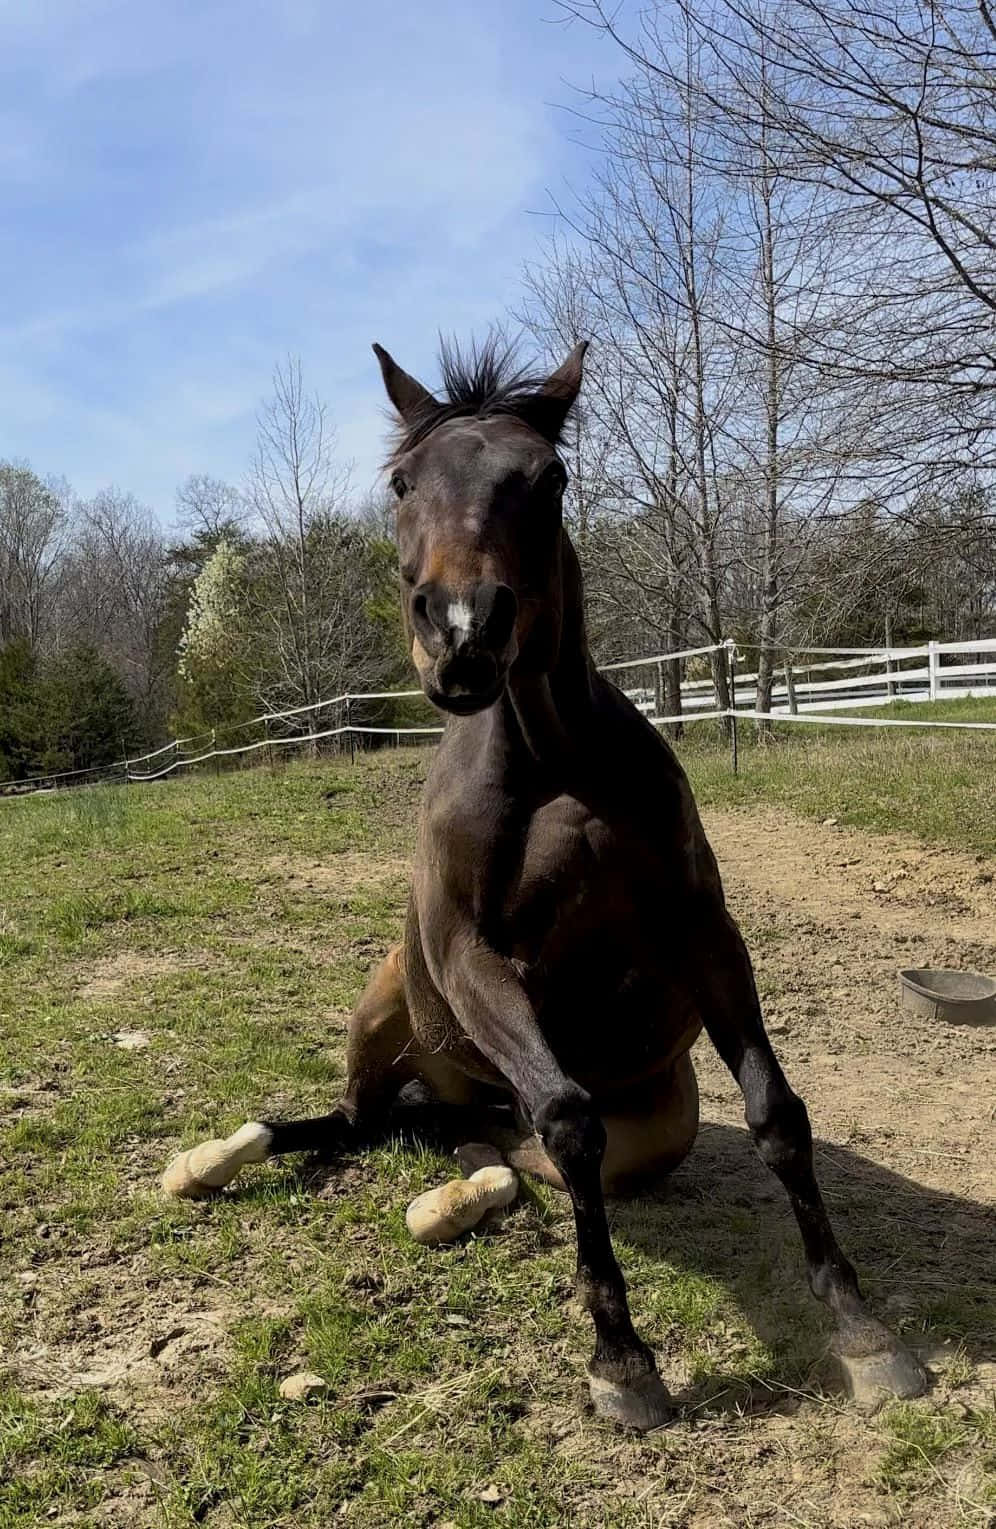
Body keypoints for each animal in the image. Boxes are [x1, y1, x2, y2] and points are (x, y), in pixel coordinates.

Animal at [165, 340, 936, 1425]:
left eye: (549, 478)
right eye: (403, 482)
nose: (462, 633)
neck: (552, 760)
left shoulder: (706, 932)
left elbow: (776, 1113)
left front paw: (867, 1335)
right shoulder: (473, 957)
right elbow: (568, 1116)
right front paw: (622, 1360)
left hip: (634, 1127)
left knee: (481, 1144)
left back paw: (457, 1192)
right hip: (384, 1005)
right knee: (363, 1124)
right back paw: (209, 1161)